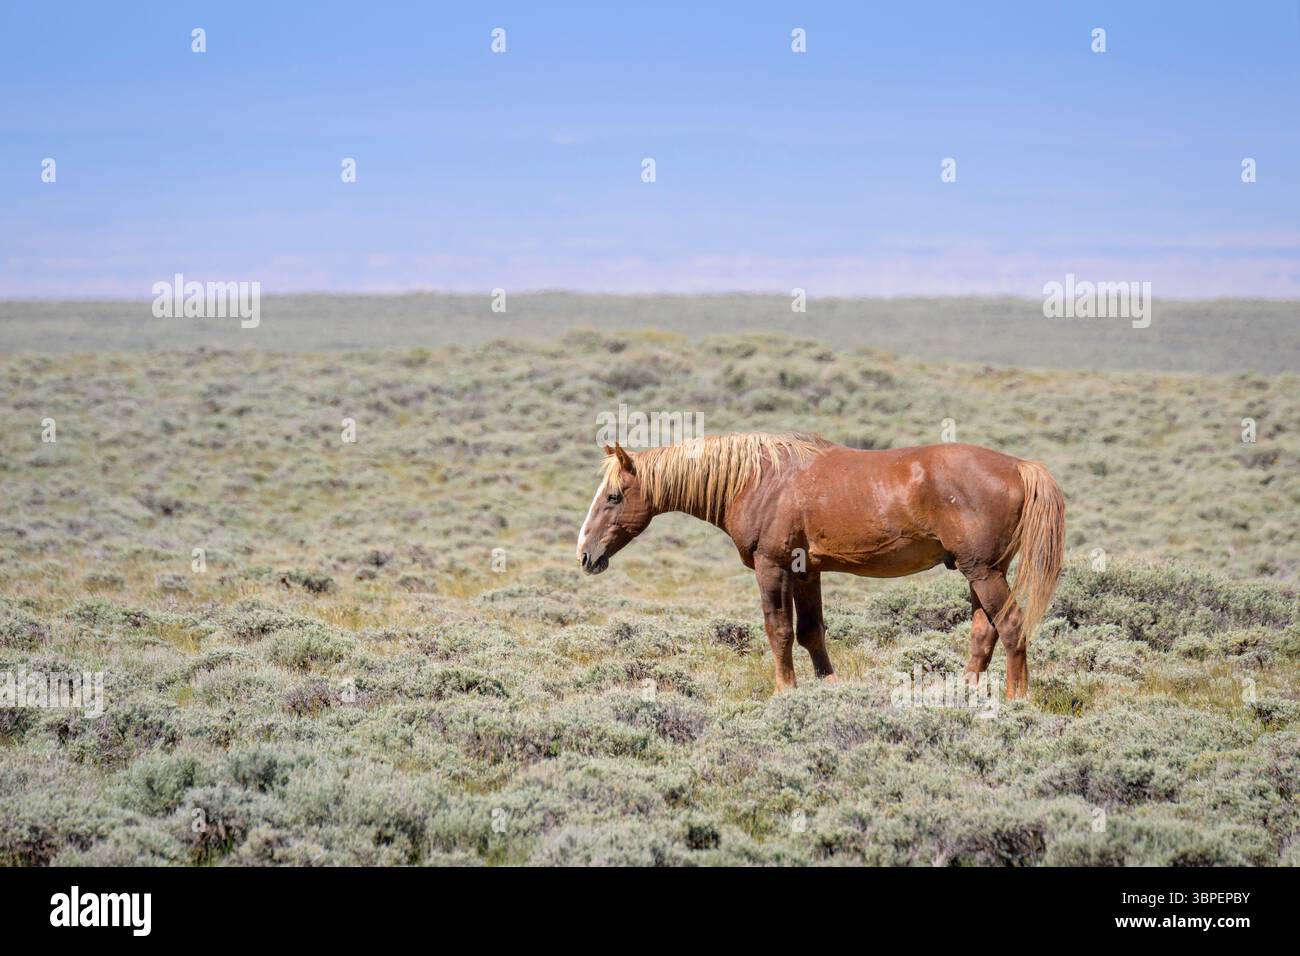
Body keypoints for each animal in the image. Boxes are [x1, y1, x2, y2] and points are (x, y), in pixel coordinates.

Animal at [576, 432, 1064, 699]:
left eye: (613, 496)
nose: (585, 554)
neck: (759, 479)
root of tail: (1021, 466)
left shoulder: (772, 566)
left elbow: (778, 630)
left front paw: (784, 690)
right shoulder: (806, 571)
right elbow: (811, 632)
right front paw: (828, 687)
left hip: (984, 572)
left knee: (1012, 627)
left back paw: (1016, 700)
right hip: (979, 572)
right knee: (985, 631)